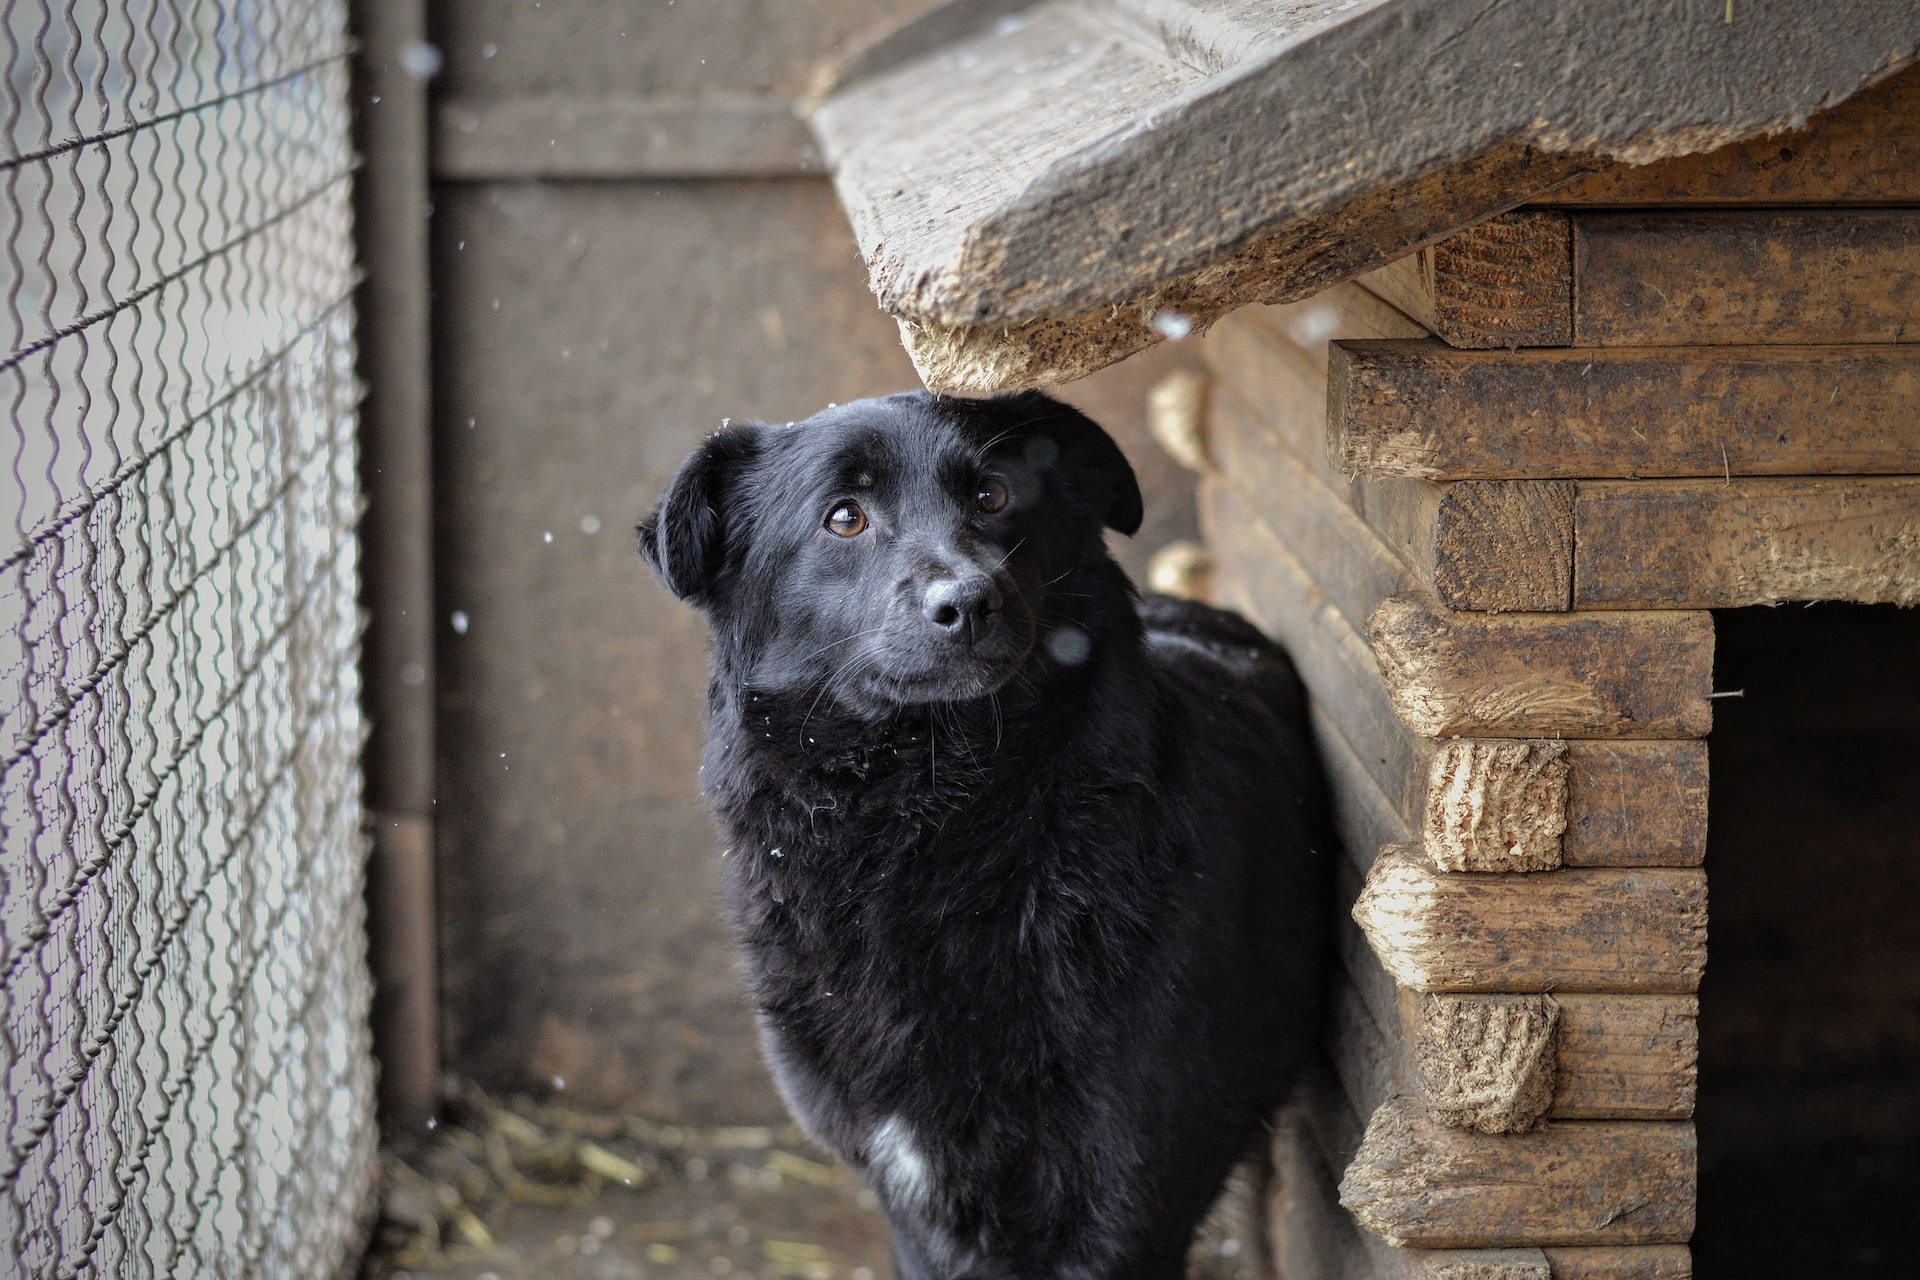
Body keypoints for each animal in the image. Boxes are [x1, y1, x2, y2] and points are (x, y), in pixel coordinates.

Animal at [637, 393, 1328, 1280]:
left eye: (993, 495)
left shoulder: (1126, 1198)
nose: (967, 602)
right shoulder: (912, 1197)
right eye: (844, 517)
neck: (937, 831)